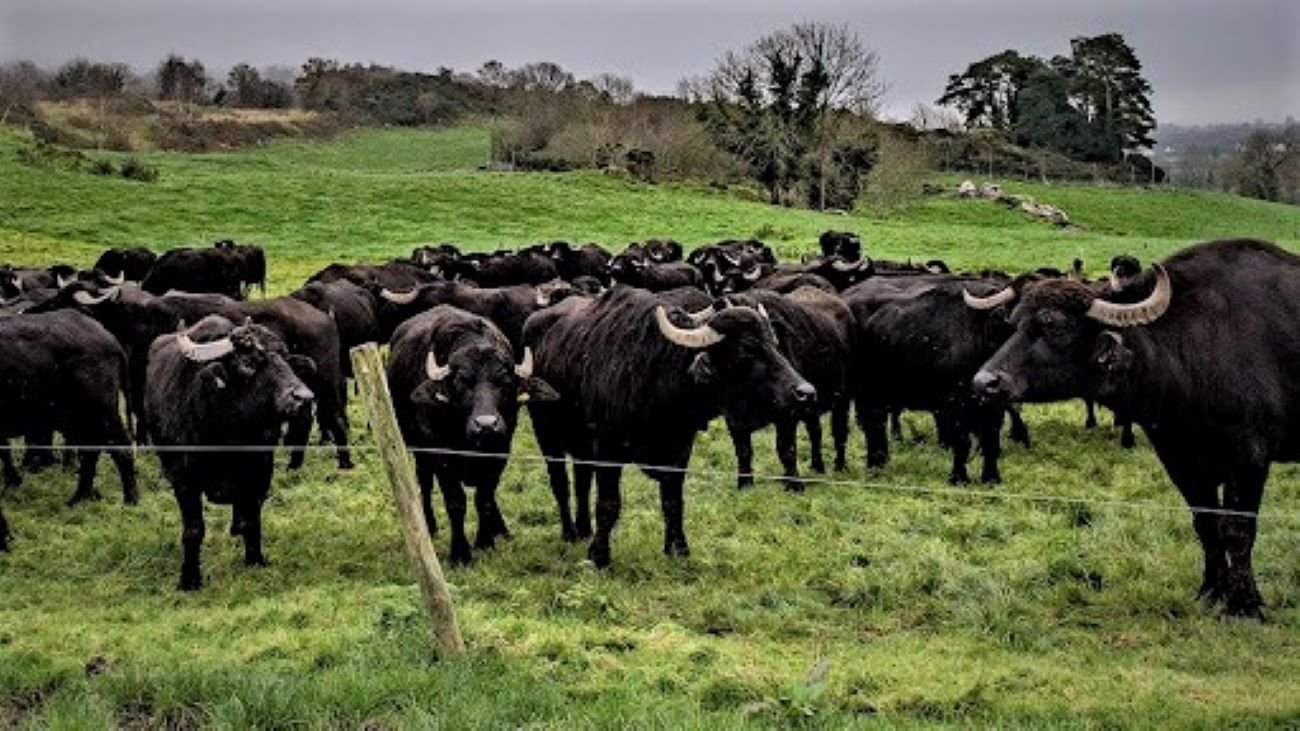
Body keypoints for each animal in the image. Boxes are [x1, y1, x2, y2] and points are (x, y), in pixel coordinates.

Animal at [0, 309, 135, 504]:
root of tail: (109, 338)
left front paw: (12, 482)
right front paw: (13, 482)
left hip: (99, 409)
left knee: (119, 446)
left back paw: (130, 501)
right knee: (90, 449)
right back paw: (80, 497)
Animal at [146, 313, 314, 585]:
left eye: (286, 358)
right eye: (248, 363)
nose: (304, 398)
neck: (229, 440)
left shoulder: (260, 472)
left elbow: (251, 520)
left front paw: (255, 560)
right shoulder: (184, 481)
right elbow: (193, 529)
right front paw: (189, 579)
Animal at [387, 304, 556, 559]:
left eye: (504, 382)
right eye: (461, 382)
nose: (486, 425)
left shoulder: (500, 449)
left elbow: (484, 497)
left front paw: (485, 542)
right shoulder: (440, 453)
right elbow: (455, 501)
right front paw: (460, 552)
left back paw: (501, 529)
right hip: (418, 448)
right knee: (424, 481)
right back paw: (429, 525)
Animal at [525, 284, 811, 564]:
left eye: (774, 343)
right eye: (747, 349)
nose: (805, 392)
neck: (656, 377)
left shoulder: (680, 448)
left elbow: (672, 500)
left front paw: (678, 549)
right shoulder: (608, 447)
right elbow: (608, 503)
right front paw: (599, 556)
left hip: (581, 443)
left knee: (582, 481)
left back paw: (584, 529)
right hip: (546, 435)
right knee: (560, 484)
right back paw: (570, 533)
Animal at [977, 239, 1300, 613]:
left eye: (1054, 326)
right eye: (1014, 323)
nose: (984, 382)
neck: (1189, 347)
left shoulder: (1249, 458)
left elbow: (1238, 530)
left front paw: (1244, 604)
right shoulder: (1180, 457)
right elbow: (1206, 523)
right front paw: (1211, 591)